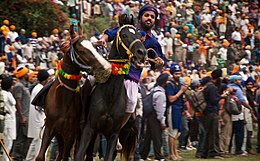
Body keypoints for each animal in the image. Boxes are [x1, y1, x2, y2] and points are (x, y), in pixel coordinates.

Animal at [35, 23, 111, 161]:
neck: (61, 100)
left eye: (93, 47)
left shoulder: (70, 132)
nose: (106, 67)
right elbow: (41, 156)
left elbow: (66, 156)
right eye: (81, 51)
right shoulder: (50, 127)